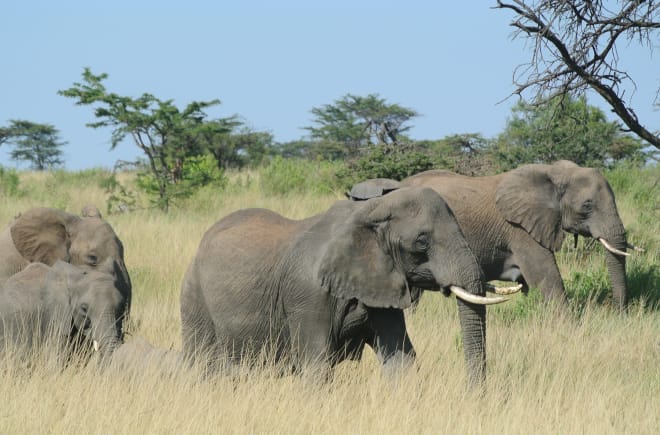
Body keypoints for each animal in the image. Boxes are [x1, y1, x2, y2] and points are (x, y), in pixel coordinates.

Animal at [183, 187, 508, 388]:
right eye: (421, 242)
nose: (473, 395)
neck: (371, 210)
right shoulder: (308, 294)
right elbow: (316, 367)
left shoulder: (380, 282)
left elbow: (401, 360)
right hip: (194, 298)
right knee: (202, 362)